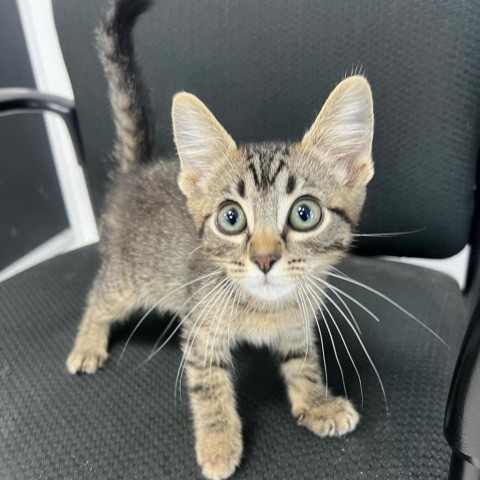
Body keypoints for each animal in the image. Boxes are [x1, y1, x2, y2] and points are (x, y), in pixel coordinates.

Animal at [66, 0, 376, 480]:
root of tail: (136, 174)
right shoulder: (201, 328)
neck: (265, 309)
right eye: (232, 218)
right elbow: (207, 383)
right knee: (99, 297)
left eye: (304, 214)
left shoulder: (297, 324)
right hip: (129, 277)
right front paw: (217, 442)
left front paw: (316, 403)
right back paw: (87, 343)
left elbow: (302, 362)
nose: (264, 259)